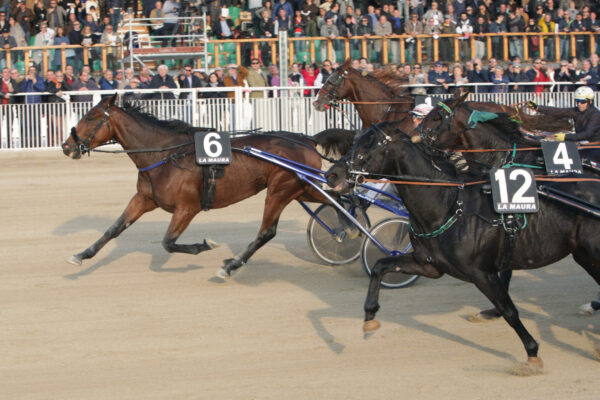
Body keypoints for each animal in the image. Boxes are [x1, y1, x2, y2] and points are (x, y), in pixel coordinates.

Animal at [59, 95, 352, 280]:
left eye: (91, 117)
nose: (66, 146)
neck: (165, 155)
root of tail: (307, 139)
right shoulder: (144, 198)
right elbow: (114, 228)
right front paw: (81, 255)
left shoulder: (188, 207)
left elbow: (168, 242)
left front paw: (205, 245)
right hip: (302, 188)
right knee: (337, 200)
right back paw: (344, 229)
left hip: (281, 190)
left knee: (267, 232)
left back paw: (230, 266)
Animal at [326, 122, 600, 372]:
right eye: (353, 141)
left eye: (369, 145)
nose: (332, 174)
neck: (449, 206)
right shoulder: (429, 265)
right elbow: (380, 265)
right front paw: (370, 317)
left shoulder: (481, 273)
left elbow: (509, 310)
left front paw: (532, 354)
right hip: (584, 256)